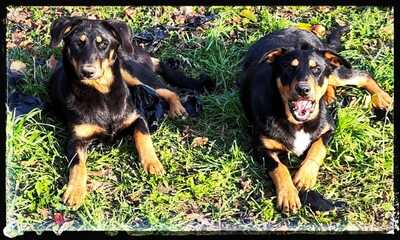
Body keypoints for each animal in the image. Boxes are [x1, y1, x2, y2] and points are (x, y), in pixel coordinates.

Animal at [48, 16, 211, 208]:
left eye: (103, 44)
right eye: (77, 43)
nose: (88, 72)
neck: (100, 93)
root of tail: (139, 51)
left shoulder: (137, 118)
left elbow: (143, 139)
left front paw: (153, 164)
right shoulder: (76, 139)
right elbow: (77, 165)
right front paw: (75, 191)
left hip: (132, 74)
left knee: (167, 91)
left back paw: (177, 109)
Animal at [239, 27, 392, 215]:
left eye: (316, 69)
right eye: (289, 68)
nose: (303, 89)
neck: (297, 122)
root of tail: (295, 28)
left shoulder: (329, 128)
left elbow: (317, 149)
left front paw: (305, 177)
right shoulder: (260, 147)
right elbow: (279, 167)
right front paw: (288, 195)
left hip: (335, 72)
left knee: (363, 75)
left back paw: (382, 98)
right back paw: (330, 95)